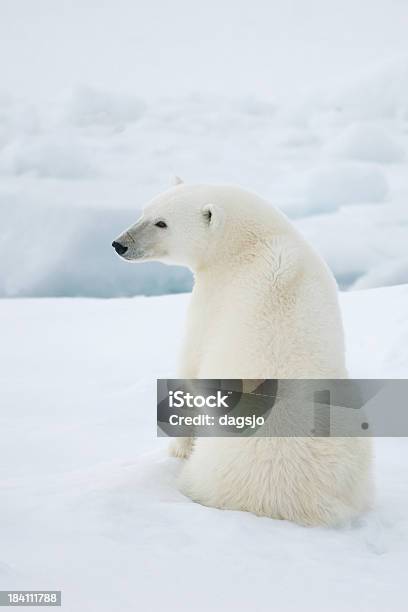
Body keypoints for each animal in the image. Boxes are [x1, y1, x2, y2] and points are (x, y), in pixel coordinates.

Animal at [111, 180, 372, 524]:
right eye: (144, 211)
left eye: (162, 223)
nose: (119, 244)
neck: (253, 242)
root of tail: (291, 501)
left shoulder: (212, 299)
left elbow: (190, 369)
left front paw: (177, 449)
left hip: (218, 466)